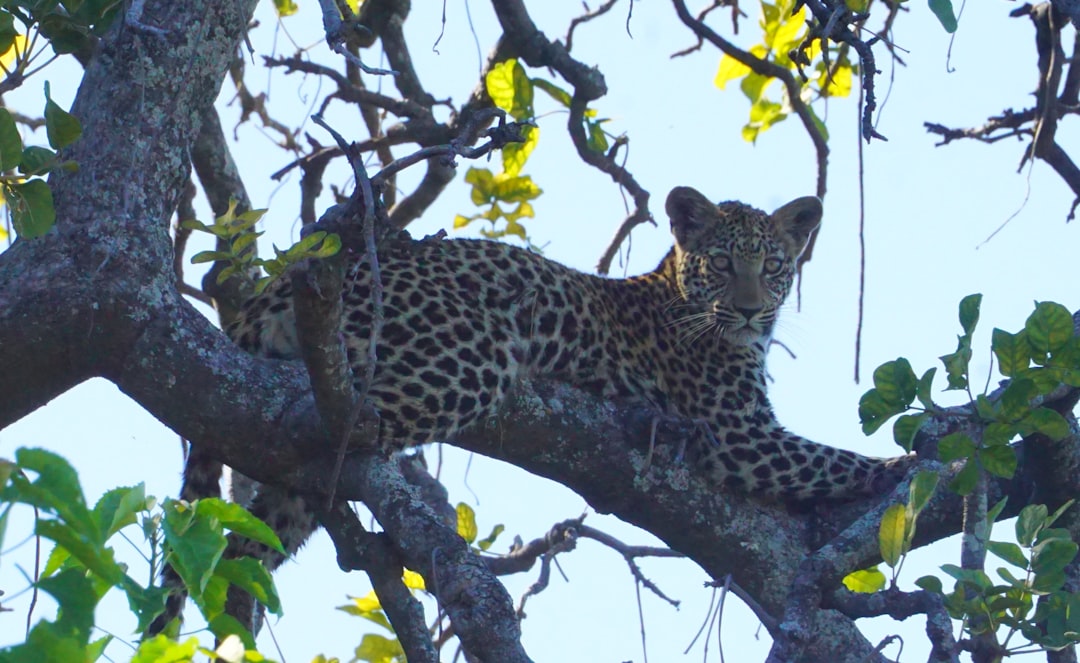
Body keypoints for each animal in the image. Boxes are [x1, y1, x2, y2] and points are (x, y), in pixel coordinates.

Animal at [151, 185, 910, 635]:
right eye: (723, 265)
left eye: (775, 265)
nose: (754, 310)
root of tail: (273, 290)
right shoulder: (742, 433)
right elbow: (836, 459)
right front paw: (909, 463)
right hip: (466, 358)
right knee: (328, 432)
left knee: (247, 532)